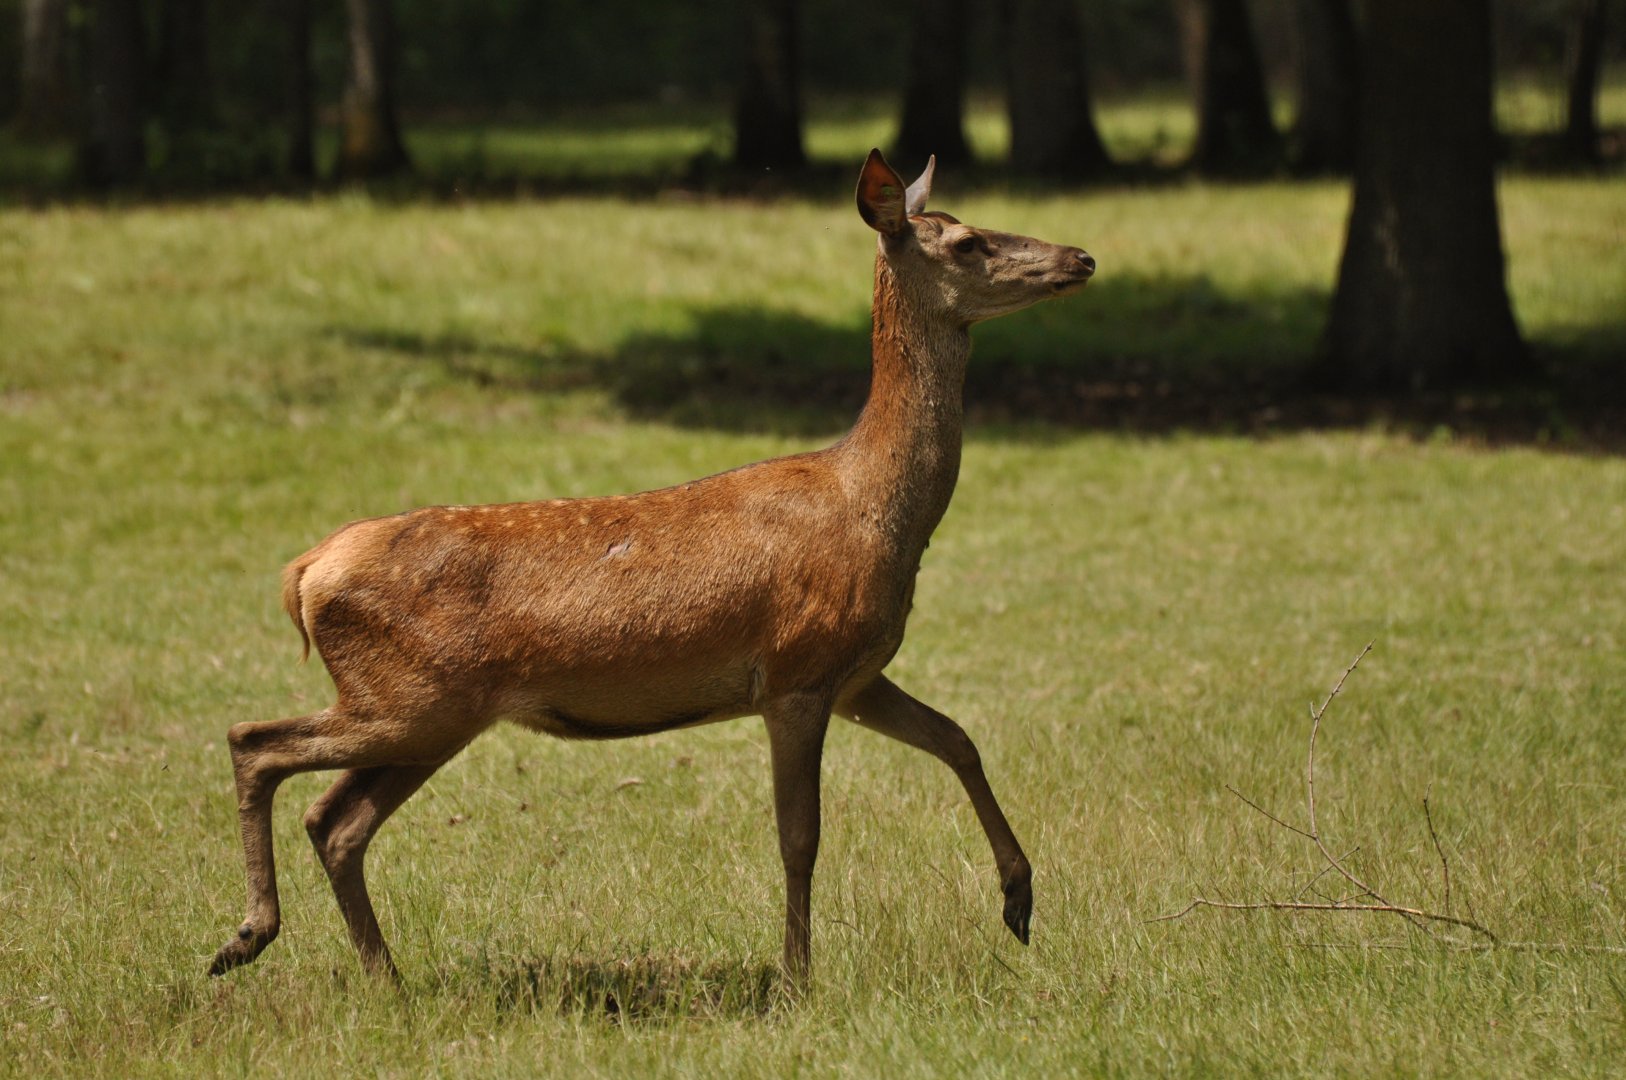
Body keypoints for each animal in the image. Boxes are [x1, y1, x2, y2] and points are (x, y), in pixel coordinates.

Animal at [208, 149, 1095, 987]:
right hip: (411, 700)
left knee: (336, 821)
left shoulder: (854, 676)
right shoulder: (797, 671)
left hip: (428, 712)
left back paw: (381, 977)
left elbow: (958, 738)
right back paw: (247, 936)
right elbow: (799, 836)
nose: (1081, 257)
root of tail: (305, 571)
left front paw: (1019, 899)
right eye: (968, 242)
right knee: (256, 741)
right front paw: (796, 976)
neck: (873, 509)